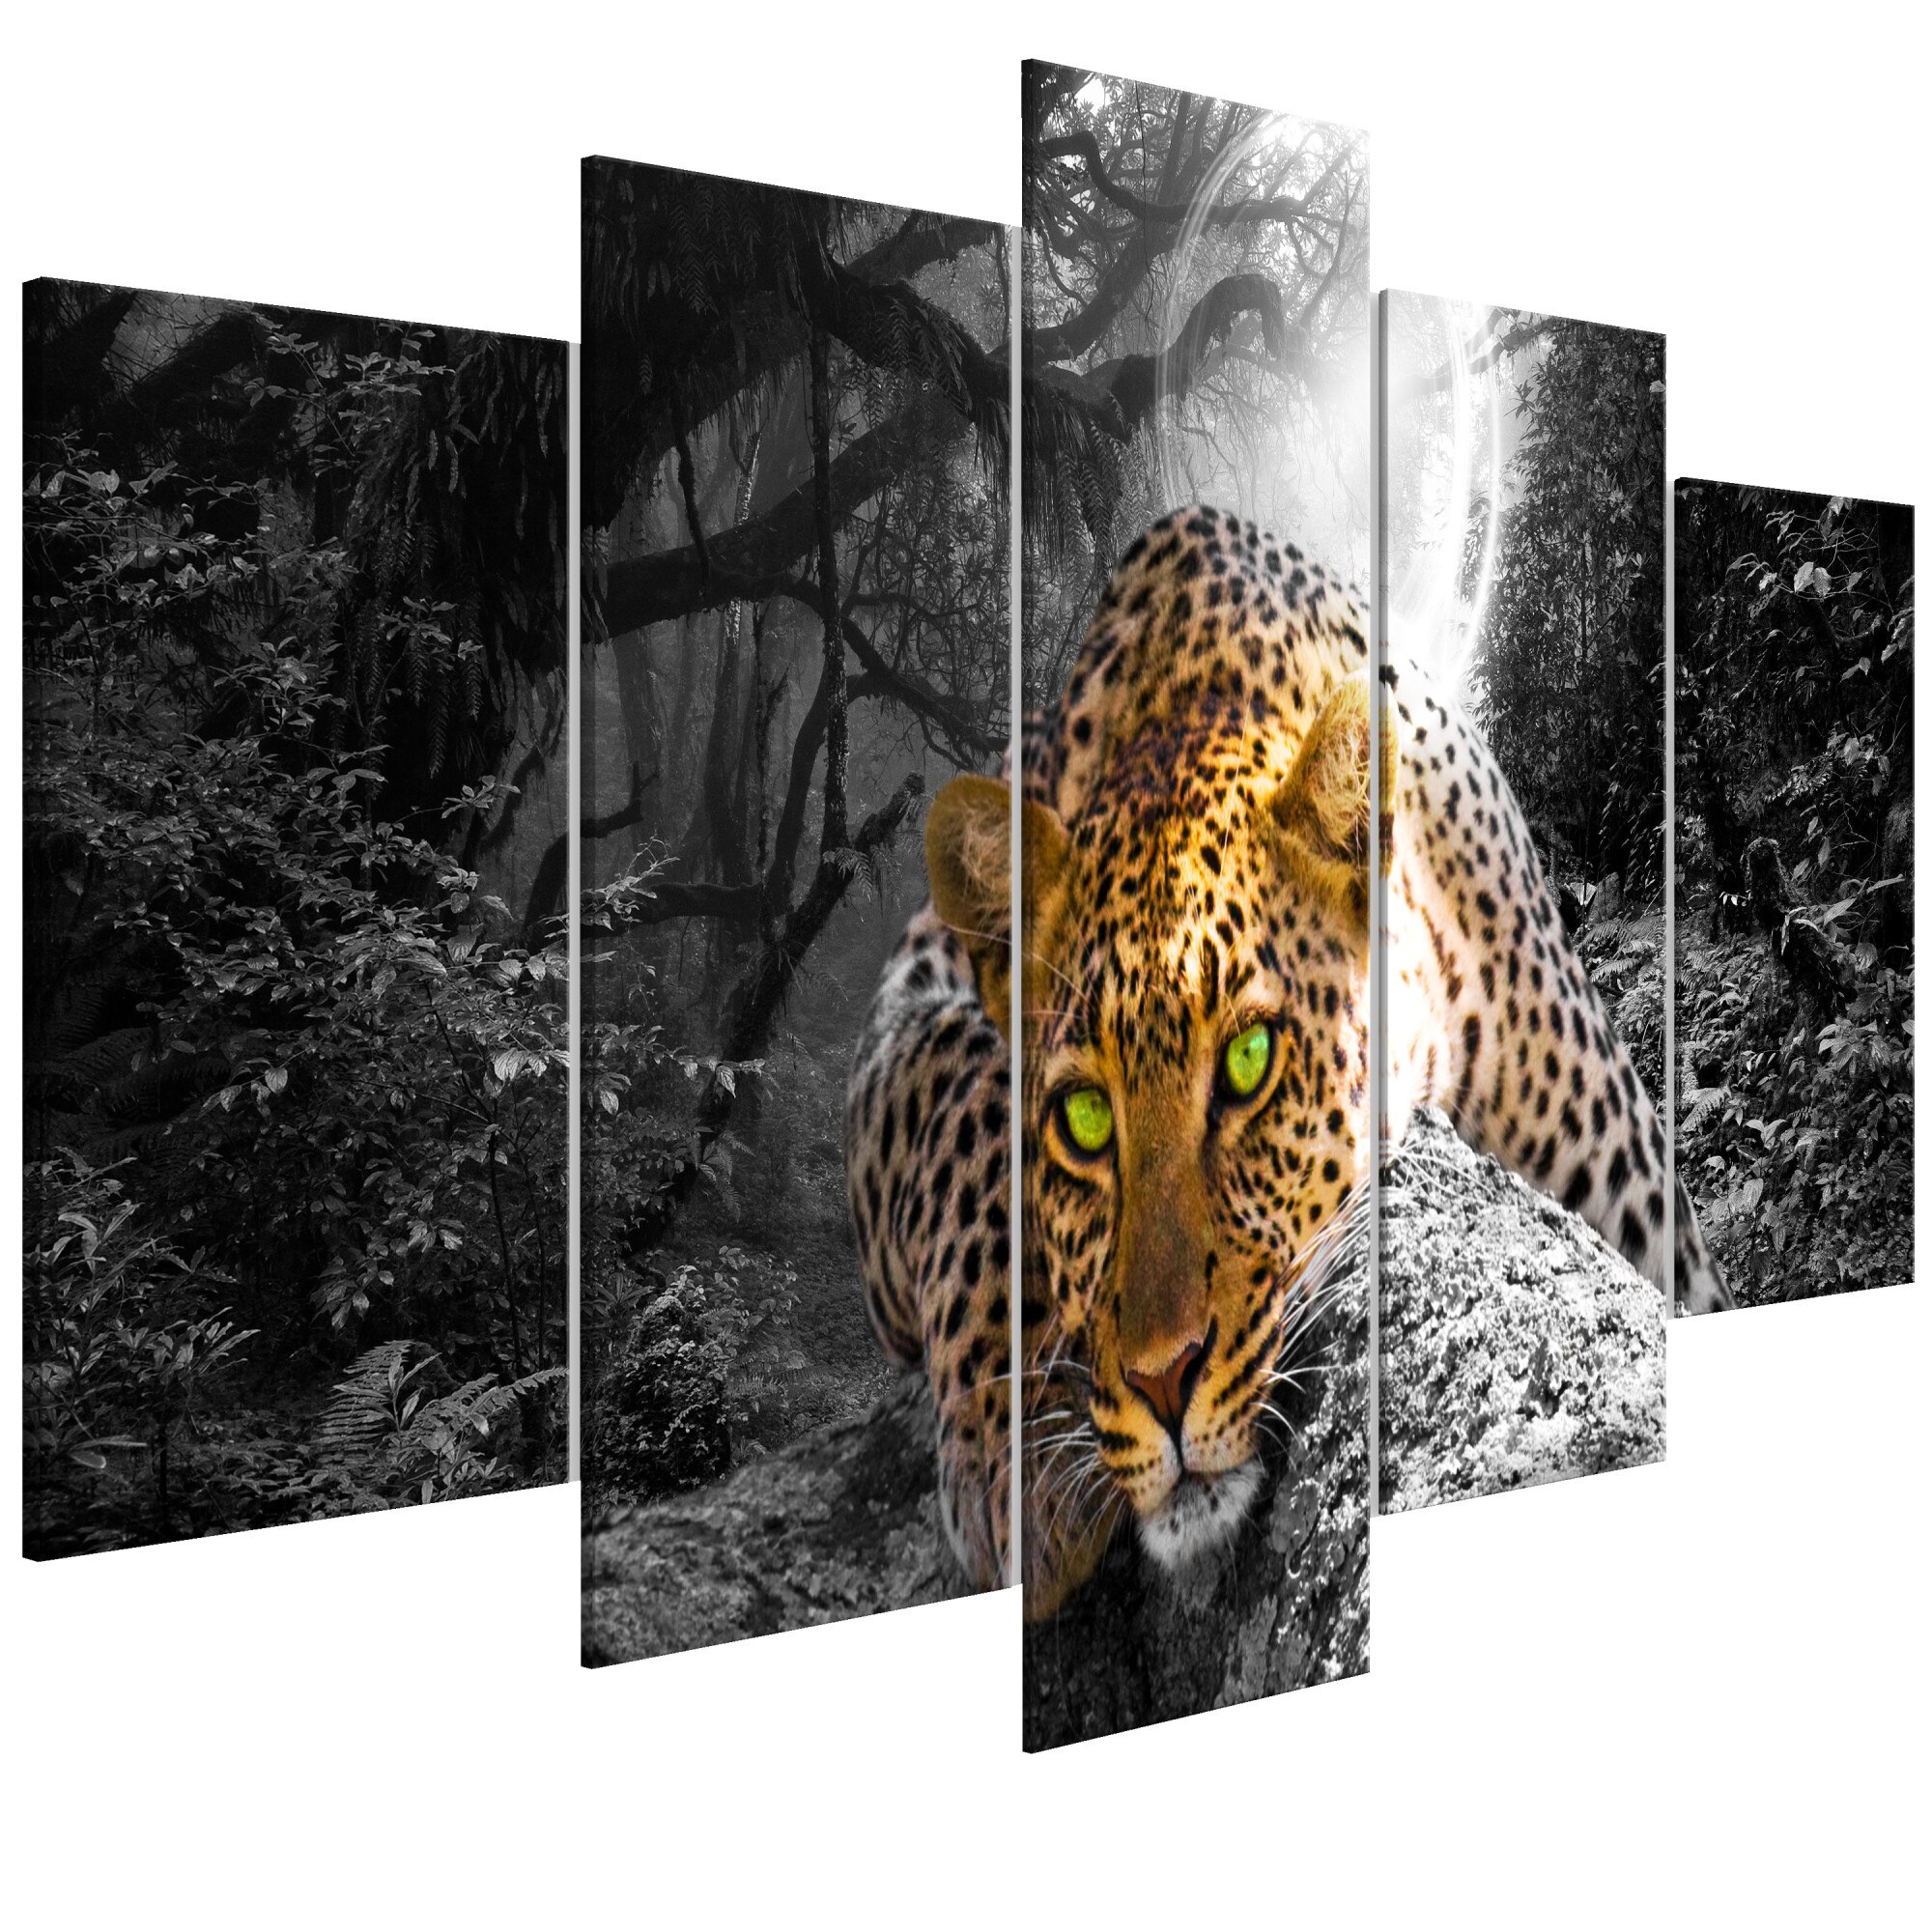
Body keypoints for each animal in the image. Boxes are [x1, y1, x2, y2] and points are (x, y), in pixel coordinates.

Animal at [847, 505, 1726, 1615]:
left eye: (1249, 1059)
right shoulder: (905, 1001)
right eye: (1082, 1118)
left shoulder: (1645, 1218)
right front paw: (1020, 1450)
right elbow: (956, 1093)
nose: (1160, 1378)